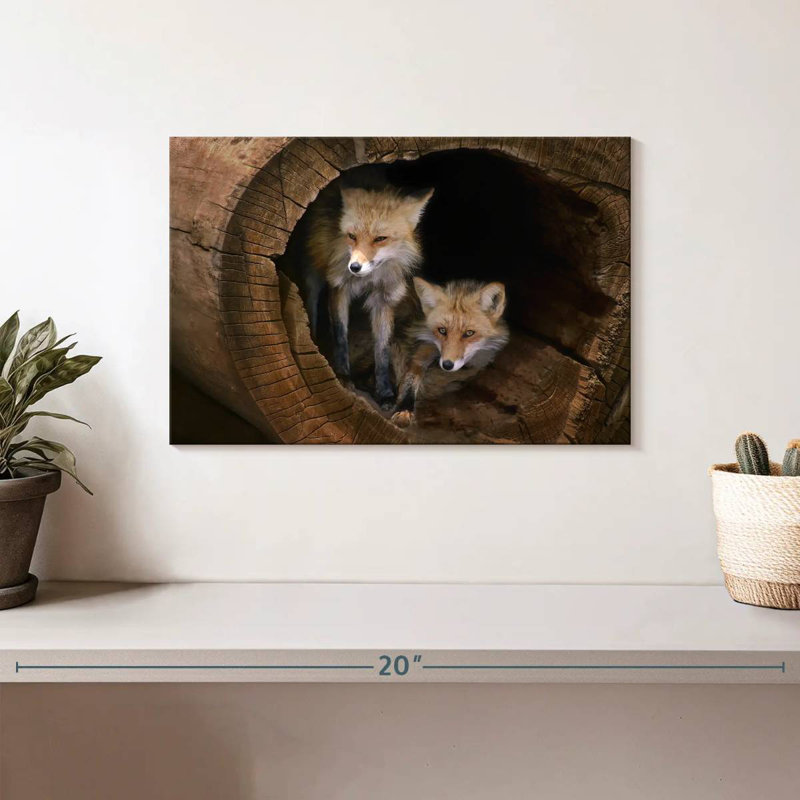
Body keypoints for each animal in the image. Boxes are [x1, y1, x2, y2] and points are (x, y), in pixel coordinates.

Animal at [303, 182, 434, 409]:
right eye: (352, 236)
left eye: (380, 239)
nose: (354, 267)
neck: (367, 280)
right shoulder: (338, 287)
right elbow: (340, 335)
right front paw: (342, 376)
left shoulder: (385, 300)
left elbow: (382, 349)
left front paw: (385, 393)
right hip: (314, 272)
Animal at [391, 277, 509, 428]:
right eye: (442, 330)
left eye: (469, 333)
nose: (447, 365)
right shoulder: (424, 348)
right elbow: (410, 380)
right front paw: (404, 410)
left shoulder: (481, 360)